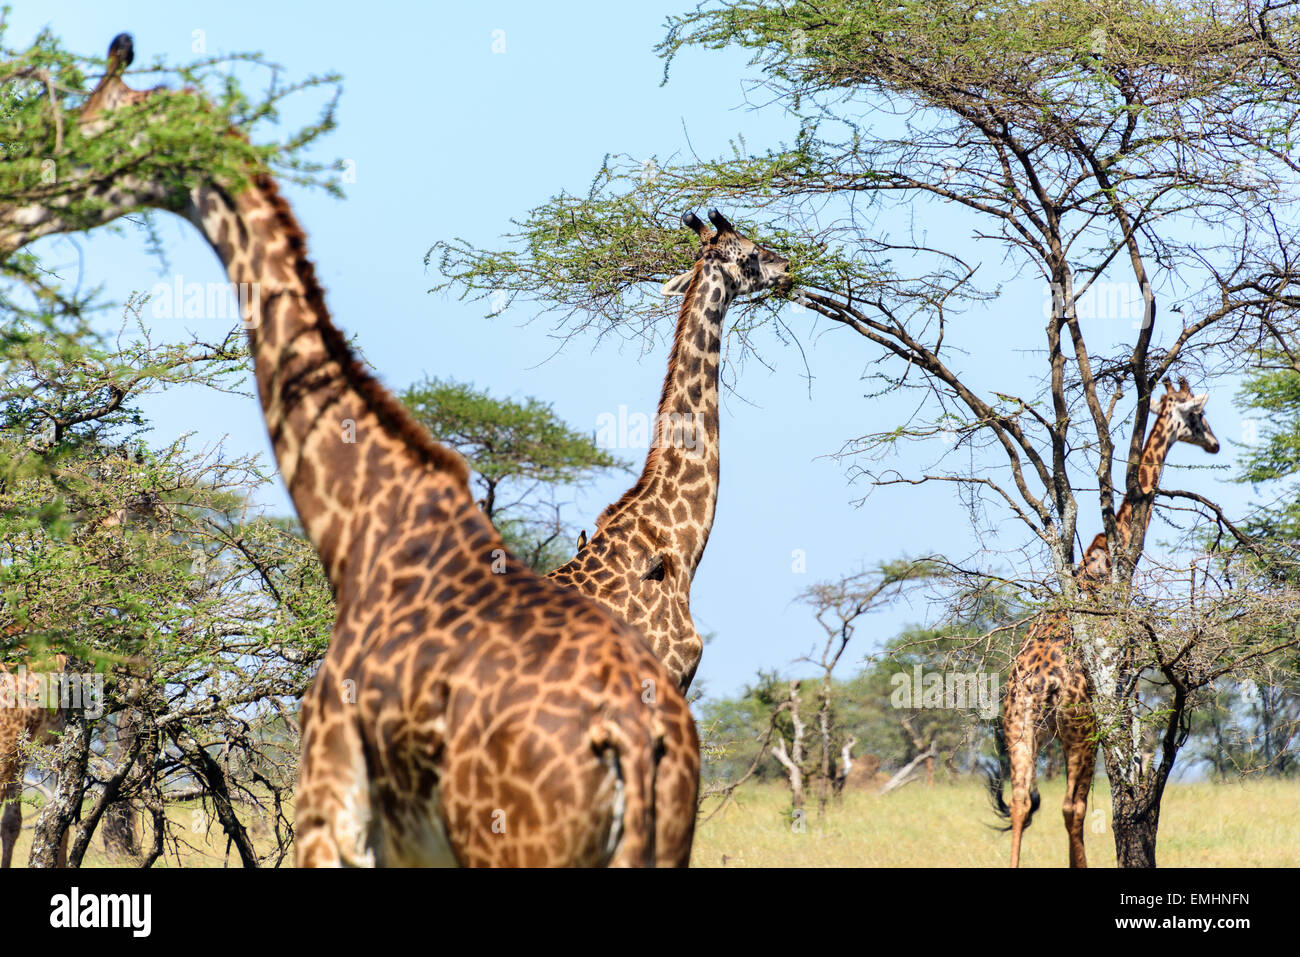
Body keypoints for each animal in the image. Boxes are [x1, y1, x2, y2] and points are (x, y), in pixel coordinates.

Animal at [64, 35, 702, 868]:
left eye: (98, 123)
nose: (44, 172)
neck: (362, 528)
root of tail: (632, 731)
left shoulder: (331, 804)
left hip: (509, 843)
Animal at [987, 379, 1222, 868]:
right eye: (1198, 416)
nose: (1214, 443)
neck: (1107, 558)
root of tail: (1039, 684)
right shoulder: (1125, 672)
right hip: (1080, 728)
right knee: (1071, 806)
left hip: (1018, 724)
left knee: (1020, 801)